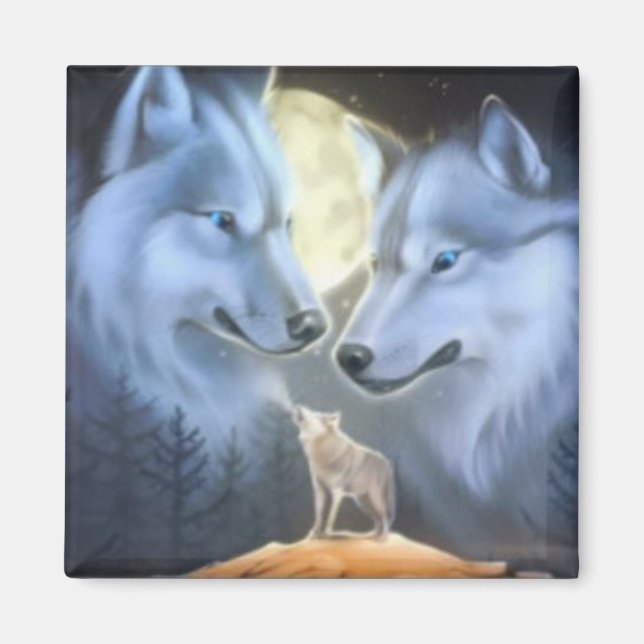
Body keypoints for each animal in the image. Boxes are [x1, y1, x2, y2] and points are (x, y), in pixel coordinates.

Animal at [293, 405, 395, 539]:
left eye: (314, 415)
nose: (298, 407)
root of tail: (387, 462)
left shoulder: (337, 492)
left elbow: (330, 516)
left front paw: (327, 533)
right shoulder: (319, 490)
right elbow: (318, 514)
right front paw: (314, 533)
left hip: (375, 498)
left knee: (384, 516)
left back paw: (383, 537)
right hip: (363, 502)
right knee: (377, 519)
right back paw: (371, 535)